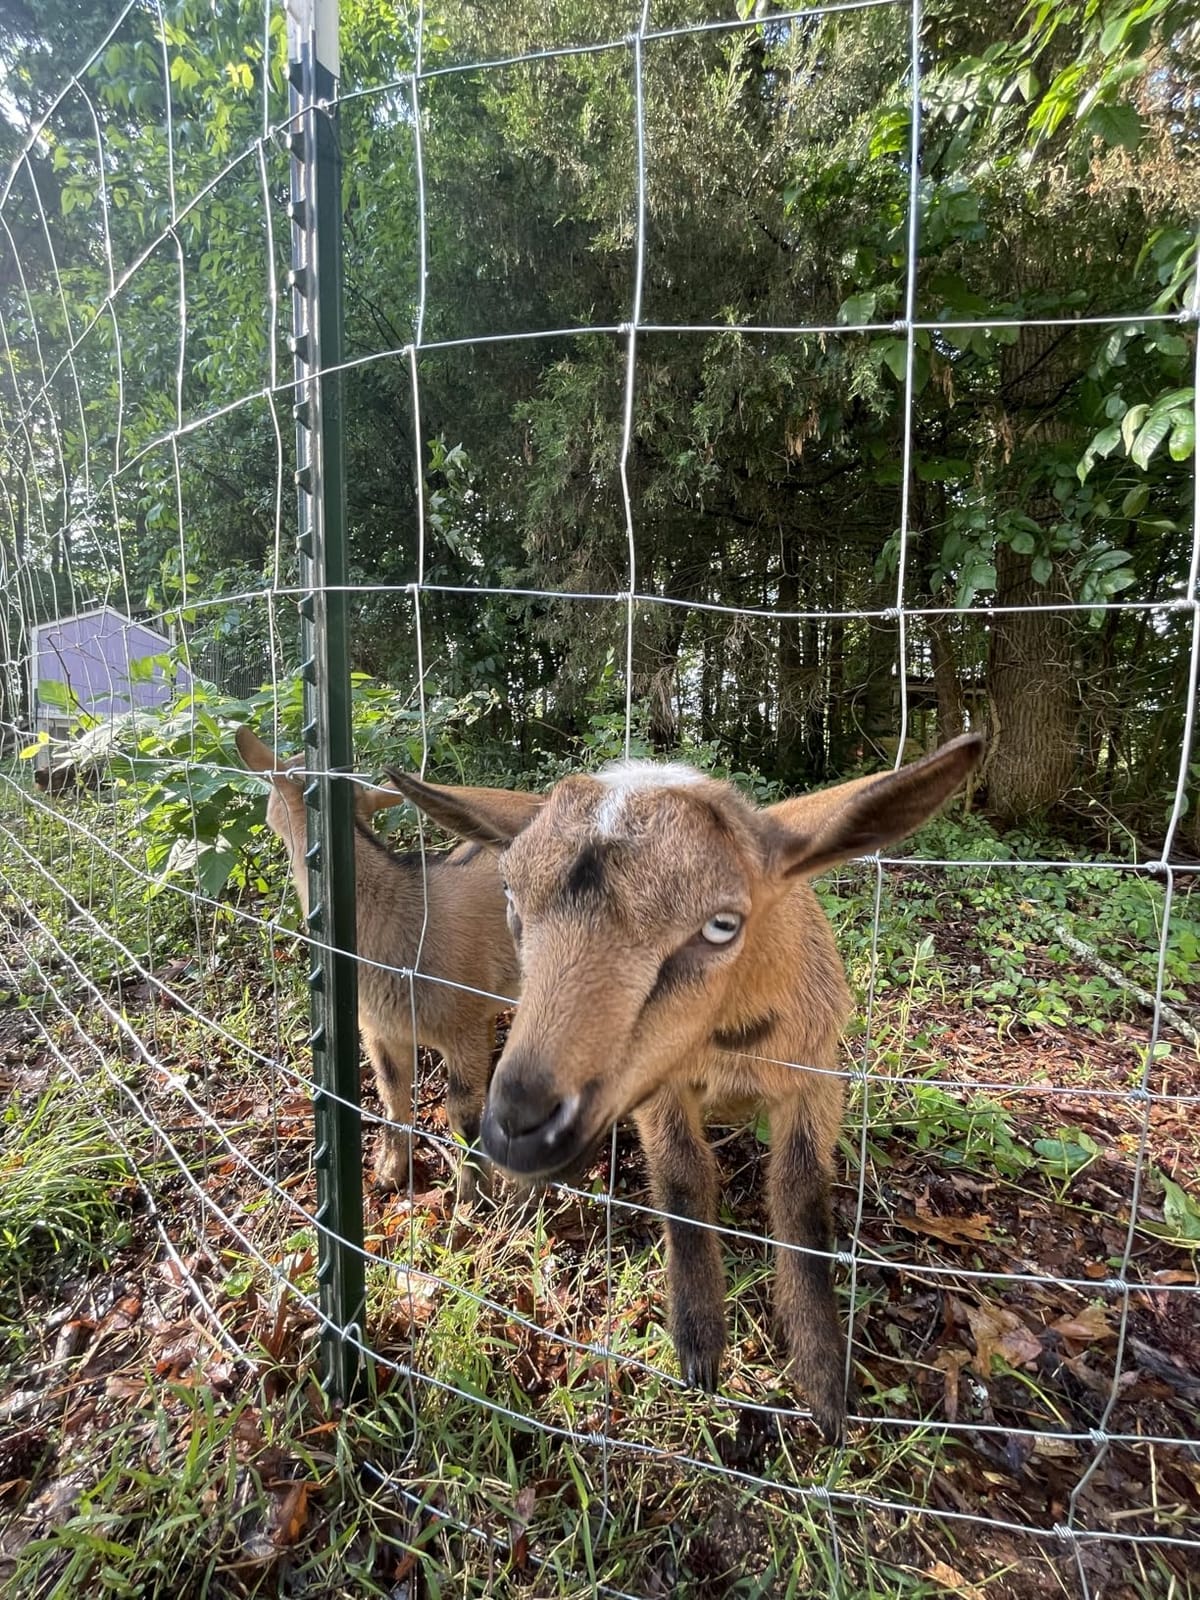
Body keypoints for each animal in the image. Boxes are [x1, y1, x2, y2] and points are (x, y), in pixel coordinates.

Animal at [236, 727, 524, 1202]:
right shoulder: (380, 1030)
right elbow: (392, 1098)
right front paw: (390, 1172)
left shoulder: (461, 1028)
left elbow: (459, 1109)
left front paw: (472, 1194)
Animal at [383, 735, 983, 1440]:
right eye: (509, 897)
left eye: (722, 924)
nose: (517, 1126)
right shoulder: (660, 1089)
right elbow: (683, 1178)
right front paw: (700, 1344)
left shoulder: (815, 1079)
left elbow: (802, 1199)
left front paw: (823, 1381)